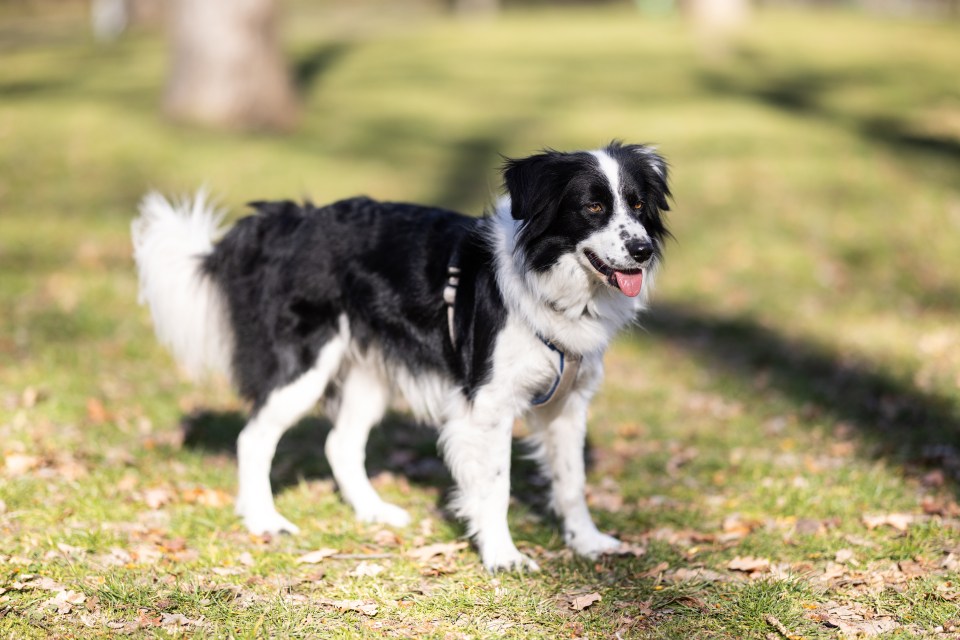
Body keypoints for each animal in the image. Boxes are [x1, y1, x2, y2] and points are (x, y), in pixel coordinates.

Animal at [131, 142, 672, 572]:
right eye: (593, 206)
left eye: (638, 205)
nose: (642, 250)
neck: (548, 279)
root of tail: (287, 220)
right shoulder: (487, 405)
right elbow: (494, 486)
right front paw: (503, 555)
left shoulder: (569, 402)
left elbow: (571, 481)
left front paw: (588, 543)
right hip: (305, 367)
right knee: (255, 438)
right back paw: (266, 519)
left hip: (370, 374)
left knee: (340, 444)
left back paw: (374, 512)